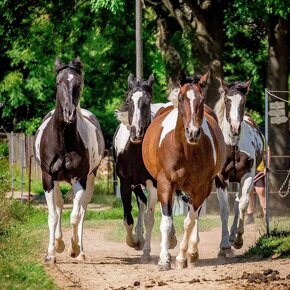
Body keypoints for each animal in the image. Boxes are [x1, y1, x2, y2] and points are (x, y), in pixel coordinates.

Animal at [112, 73, 177, 262]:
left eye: (147, 102)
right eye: (129, 101)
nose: (137, 133)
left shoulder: (153, 183)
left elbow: (150, 217)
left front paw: (147, 251)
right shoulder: (125, 183)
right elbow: (128, 218)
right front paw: (134, 241)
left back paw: (171, 239)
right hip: (136, 184)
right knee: (141, 202)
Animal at [143, 72, 227, 270]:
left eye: (202, 99)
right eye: (181, 98)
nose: (193, 132)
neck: (186, 150)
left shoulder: (202, 187)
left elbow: (190, 221)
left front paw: (182, 257)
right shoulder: (165, 184)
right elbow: (166, 222)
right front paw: (164, 260)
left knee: (195, 217)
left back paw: (193, 252)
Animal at [214, 78, 264, 258]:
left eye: (243, 101)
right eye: (227, 100)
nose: (235, 128)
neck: (234, 147)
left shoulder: (247, 176)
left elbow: (243, 204)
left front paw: (238, 240)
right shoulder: (221, 178)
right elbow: (224, 209)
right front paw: (224, 246)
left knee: (238, 201)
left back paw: (233, 236)